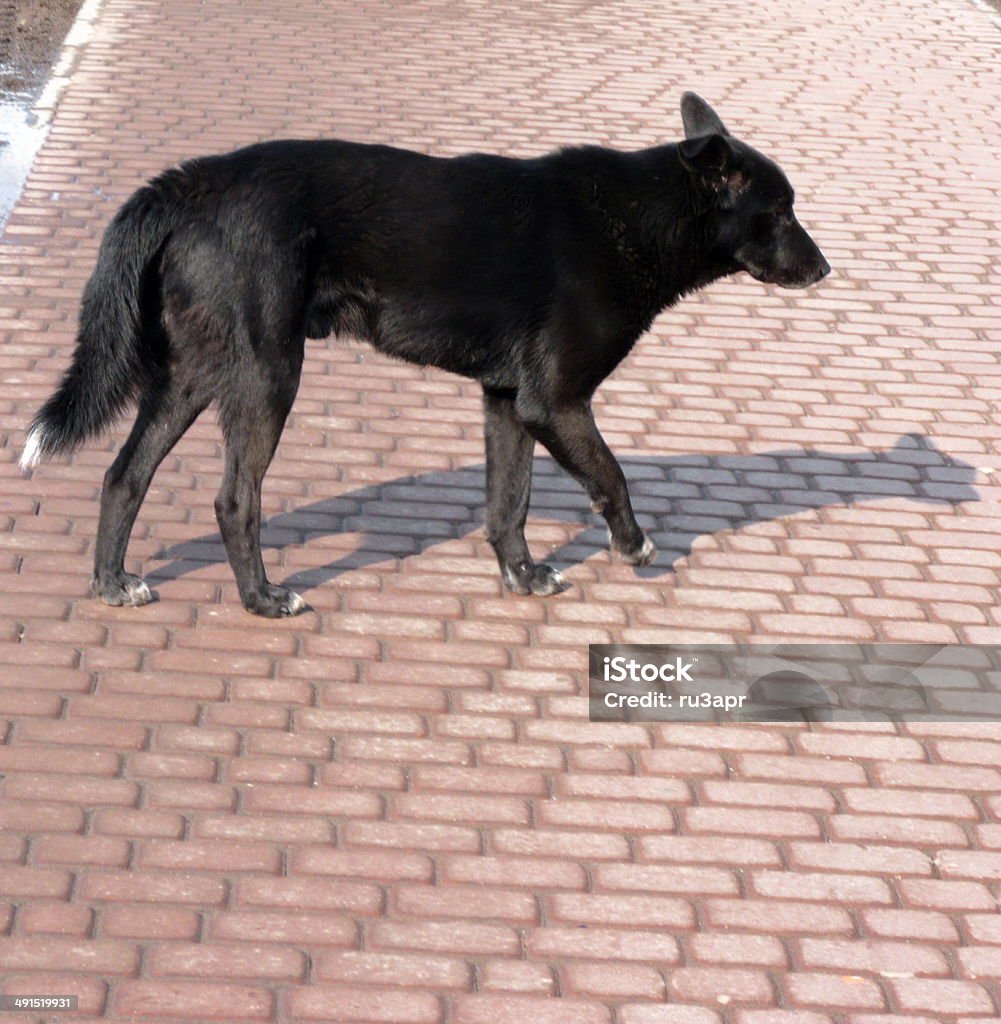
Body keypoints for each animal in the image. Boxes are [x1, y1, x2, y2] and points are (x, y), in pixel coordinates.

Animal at [21, 94, 827, 614]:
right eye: (782, 212)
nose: (824, 270)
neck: (635, 219)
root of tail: (188, 185)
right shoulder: (556, 402)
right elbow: (611, 476)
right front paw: (632, 547)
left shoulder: (509, 402)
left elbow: (507, 503)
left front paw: (522, 576)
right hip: (267, 376)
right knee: (233, 499)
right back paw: (261, 598)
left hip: (191, 376)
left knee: (123, 476)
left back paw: (113, 582)